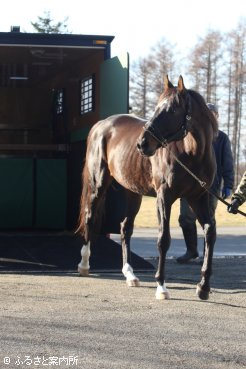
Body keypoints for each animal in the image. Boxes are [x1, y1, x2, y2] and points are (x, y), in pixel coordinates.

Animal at [77, 75, 217, 300]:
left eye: (172, 110)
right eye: (157, 107)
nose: (142, 144)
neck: (192, 154)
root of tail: (101, 124)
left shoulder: (199, 196)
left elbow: (210, 232)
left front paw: (203, 287)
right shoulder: (164, 197)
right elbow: (163, 239)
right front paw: (161, 286)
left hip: (133, 193)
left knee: (125, 227)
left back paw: (130, 274)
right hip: (98, 183)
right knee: (90, 217)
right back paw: (84, 264)